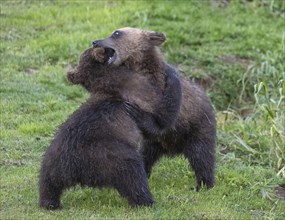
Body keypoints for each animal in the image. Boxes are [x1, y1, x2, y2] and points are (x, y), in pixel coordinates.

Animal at [93, 27, 215, 191]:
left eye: (116, 33)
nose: (95, 42)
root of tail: (174, 149)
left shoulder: (164, 95)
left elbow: (162, 119)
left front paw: (135, 111)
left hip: (197, 128)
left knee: (201, 156)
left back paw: (203, 184)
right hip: (156, 143)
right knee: (147, 155)